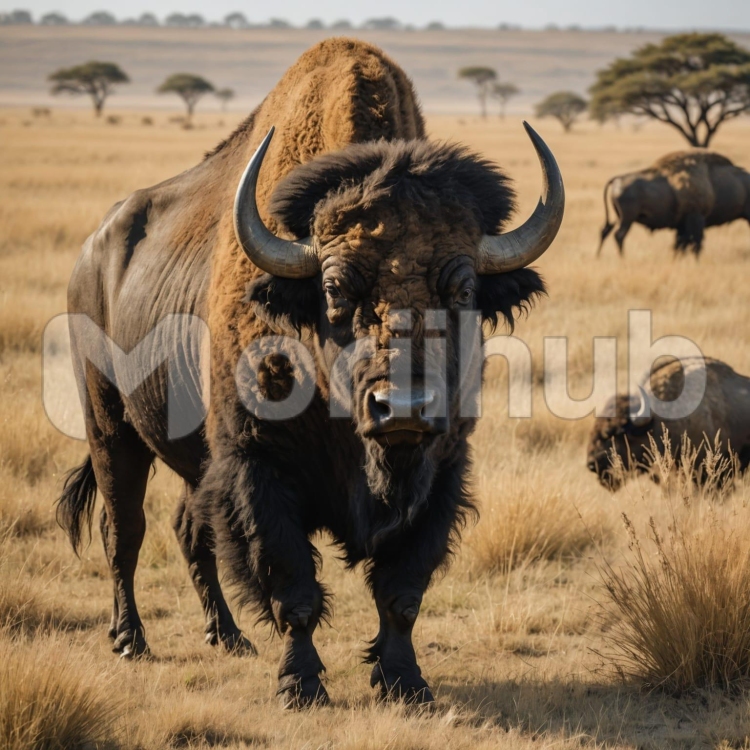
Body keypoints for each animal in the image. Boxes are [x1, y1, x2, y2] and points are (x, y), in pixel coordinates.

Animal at [56, 39, 564, 707]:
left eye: (461, 289)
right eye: (333, 290)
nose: (402, 410)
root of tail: (94, 250)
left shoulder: (442, 472)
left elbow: (402, 592)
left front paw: (406, 682)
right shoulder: (258, 468)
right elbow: (290, 585)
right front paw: (301, 685)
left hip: (191, 457)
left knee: (190, 530)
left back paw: (228, 637)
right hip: (110, 425)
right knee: (125, 530)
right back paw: (130, 640)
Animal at [598, 150, 750, 256]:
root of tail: (618, 179)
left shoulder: (683, 225)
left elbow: (681, 243)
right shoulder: (696, 218)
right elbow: (695, 243)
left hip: (618, 217)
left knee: (605, 231)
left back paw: (599, 256)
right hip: (627, 219)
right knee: (619, 235)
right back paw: (622, 258)